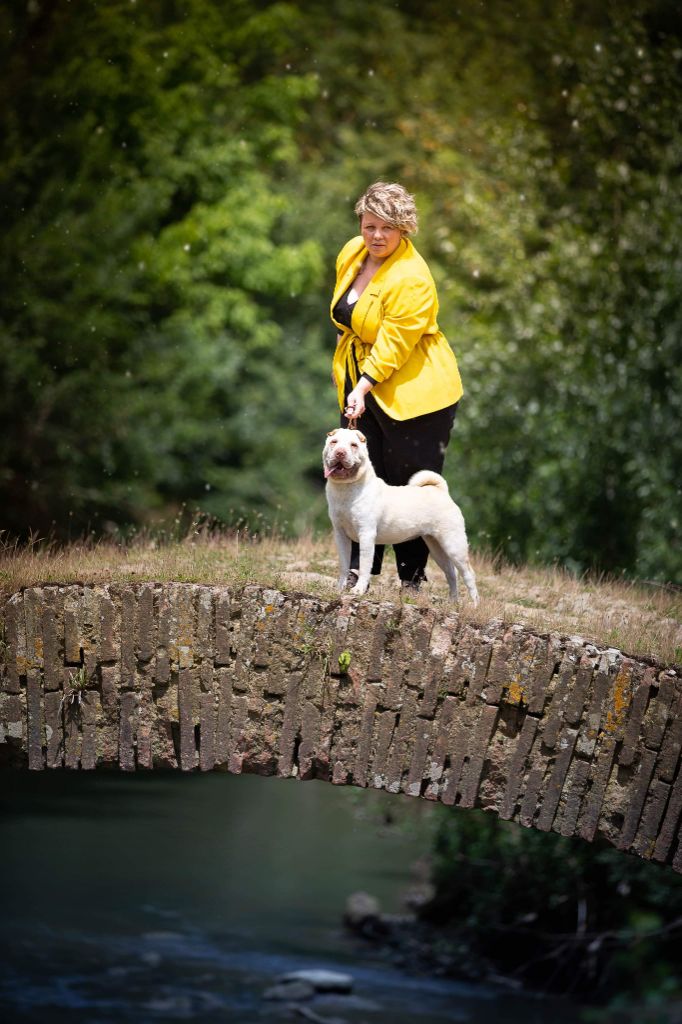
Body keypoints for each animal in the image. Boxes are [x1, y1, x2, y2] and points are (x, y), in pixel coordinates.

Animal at [323, 428, 477, 602]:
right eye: (334, 442)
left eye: (353, 445)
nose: (340, 452)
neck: (346, 490)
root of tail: (441, 491)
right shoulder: (340, 534)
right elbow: (344, 564)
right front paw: (341, 588)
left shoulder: (366, 534)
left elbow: (364, 566)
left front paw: (358, 590)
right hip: (436, 546)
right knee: (451, 573)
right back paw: (452, 603)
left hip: (454, 545)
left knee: (468, 574)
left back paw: (474, 605)